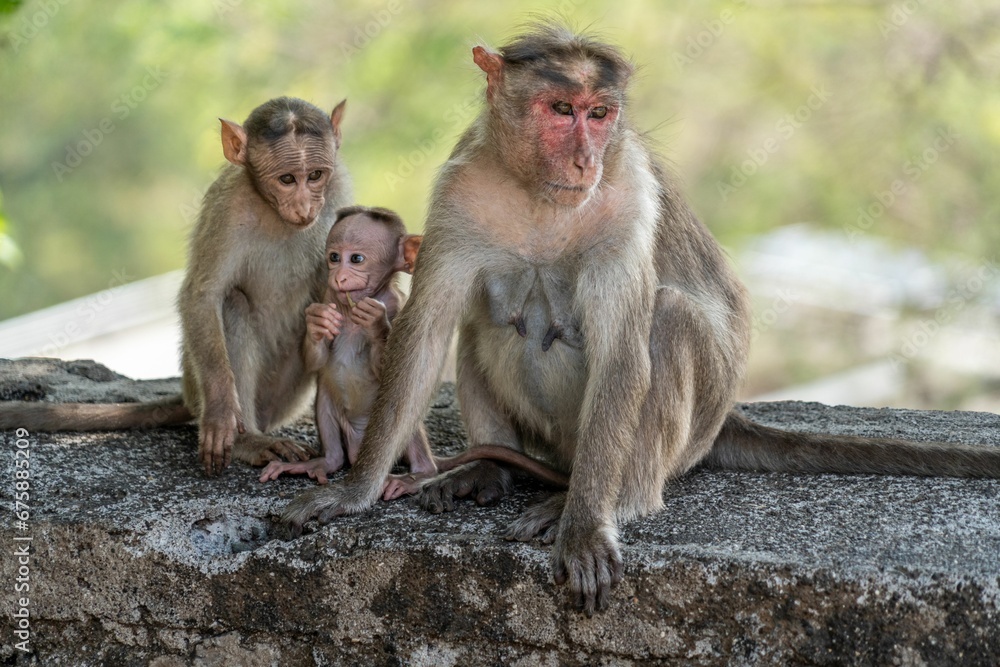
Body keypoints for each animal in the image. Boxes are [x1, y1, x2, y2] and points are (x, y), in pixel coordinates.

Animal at [0, 96, 352, 478]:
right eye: (287, 179)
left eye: (315, 175)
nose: (305, 207)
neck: (272, 209)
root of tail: (186, 393)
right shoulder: (228, 206)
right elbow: (203, 295)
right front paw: (220, 413)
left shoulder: (338, 189)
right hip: (215, 389)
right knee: (233, 305)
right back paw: (249, 440)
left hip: (286, 396)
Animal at [278, 26, 1000, 616]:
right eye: (561, 110)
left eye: (600, 115)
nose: (585, 160)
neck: (537, 192)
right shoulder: (457, 189)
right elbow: (426, 332)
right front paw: (355, 490)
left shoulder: (627, 196)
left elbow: (625, 350)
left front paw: (588, 528)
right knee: (480, 318)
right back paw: (489, 471)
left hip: (677, 432)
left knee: (667, 321)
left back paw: (612, 499)